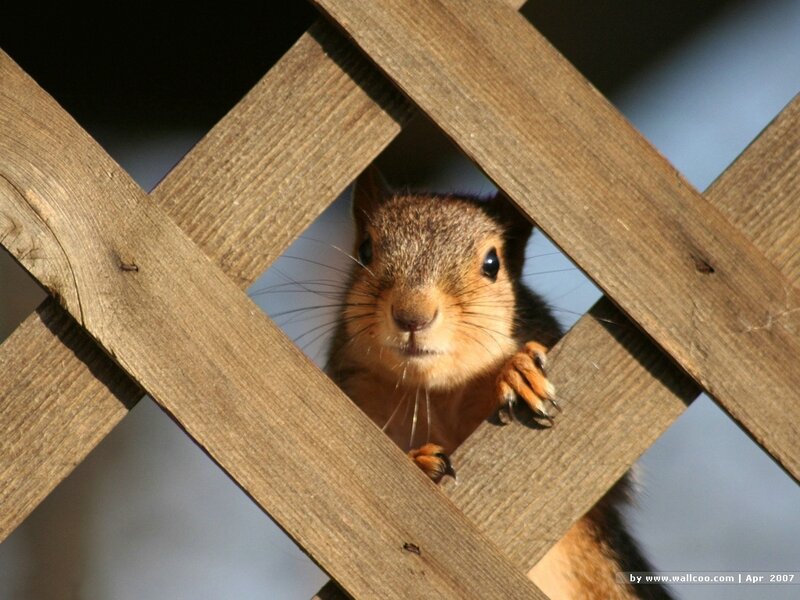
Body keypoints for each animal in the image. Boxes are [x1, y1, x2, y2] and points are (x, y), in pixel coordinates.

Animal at [326, 166, 673, 600]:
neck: (441, 395)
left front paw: (519, 370)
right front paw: (419, 460)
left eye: (493, 263)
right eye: (365, 251)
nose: (412, 315)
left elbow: (612, 485)